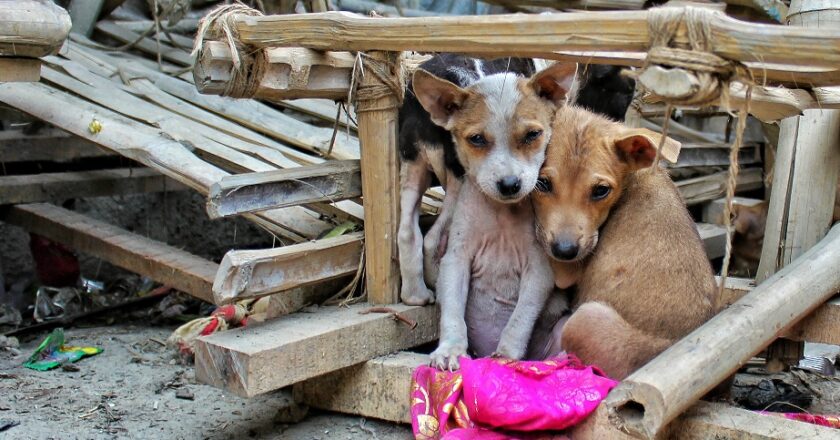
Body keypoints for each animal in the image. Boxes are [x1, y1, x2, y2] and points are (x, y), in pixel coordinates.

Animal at [532, 105, 716, 380]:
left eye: (601, 190)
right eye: (542, 183)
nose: (565, 251)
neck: (634, 177)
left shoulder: (566, 270)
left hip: (584, 318)